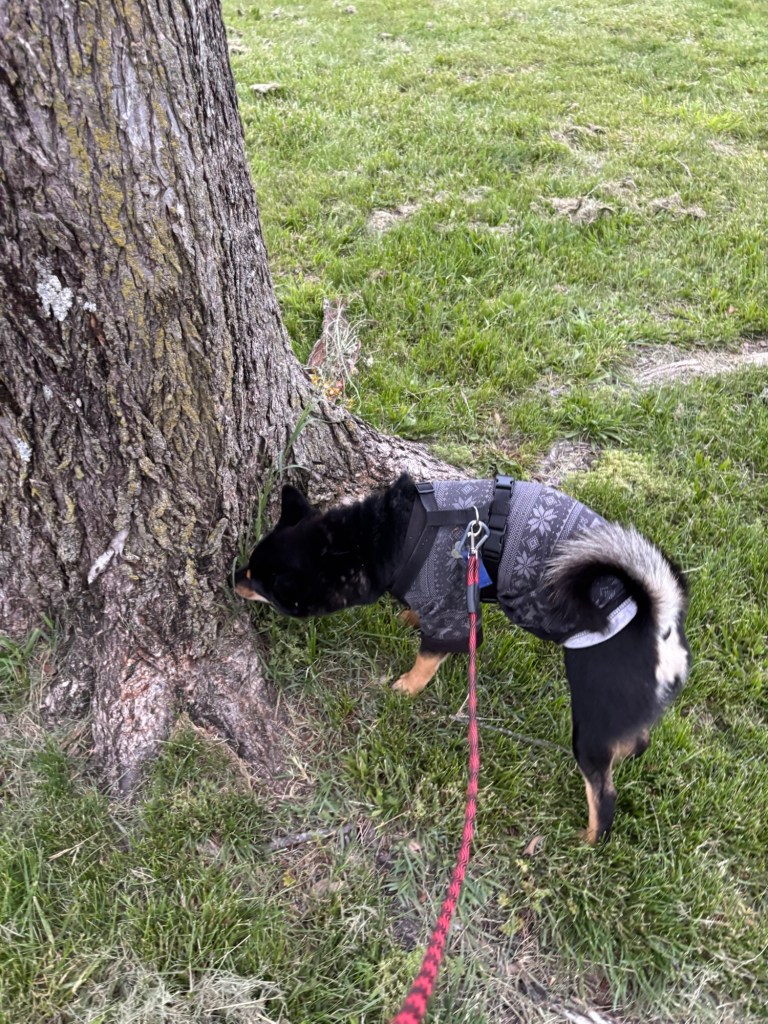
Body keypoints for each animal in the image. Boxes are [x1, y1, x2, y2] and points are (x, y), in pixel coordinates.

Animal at [234, 473, 690, 843]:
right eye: (250, 569)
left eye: (263, 585)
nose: (231, 577)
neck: (387, 536)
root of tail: (657, 618)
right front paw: (408, 617)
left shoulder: (452, 616)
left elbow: (427, 658)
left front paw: (404, 689)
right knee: (636, 740)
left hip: (591, 721)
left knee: (604, 792)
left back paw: (590, 838)